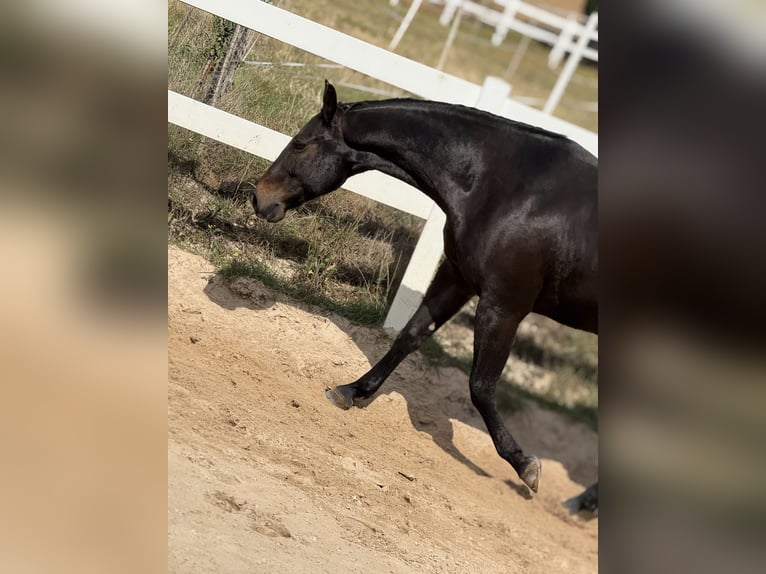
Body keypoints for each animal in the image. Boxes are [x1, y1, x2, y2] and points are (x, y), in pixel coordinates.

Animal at [252, 81, 598, 509]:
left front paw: (525, 466)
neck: (501, 185)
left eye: (301, 144)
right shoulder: (457, 278)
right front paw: (350, 390)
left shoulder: (503, 306)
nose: (259, 197)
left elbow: (481, 386)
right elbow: (409, 337)